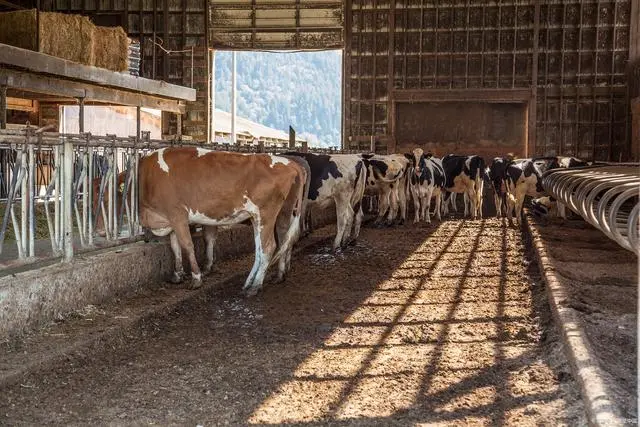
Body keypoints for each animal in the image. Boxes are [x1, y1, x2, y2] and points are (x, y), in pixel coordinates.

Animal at [139, 146, 308, 294]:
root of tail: (291, 163)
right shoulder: (169, 219)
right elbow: (175, 248)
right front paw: (177, 275)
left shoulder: (177, 214)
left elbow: (187, 246)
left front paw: (196, 279)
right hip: (276, 213)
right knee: (277, 242)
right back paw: (270, 277)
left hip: (266, 213)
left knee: (268, 247)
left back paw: (255, 286)